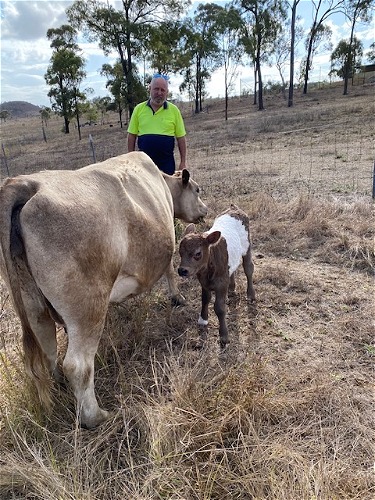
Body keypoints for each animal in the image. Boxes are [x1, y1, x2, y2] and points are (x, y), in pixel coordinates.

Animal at [0, 150, 209, 428]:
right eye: (197, 189)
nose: (205, 210)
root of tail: (25, 184)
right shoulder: (167, 245)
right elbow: (169, 269)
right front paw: (177, 297)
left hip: (32, 306)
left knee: (48, 350)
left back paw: (59, 386)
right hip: (87, 305)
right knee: (77, 365)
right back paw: (96, 416)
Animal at [178, 205, 256, 350]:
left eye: (198, 253)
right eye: (180, 252)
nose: (182, 270)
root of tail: (234, 208)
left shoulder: (221, 283)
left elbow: (219, 308)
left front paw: (224, 337)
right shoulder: (204, 282)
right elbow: (205, 299)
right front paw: (203, 320)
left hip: (247, 245)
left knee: (248, 268)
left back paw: (251, 295)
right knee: (233, 269)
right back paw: (232, 290)